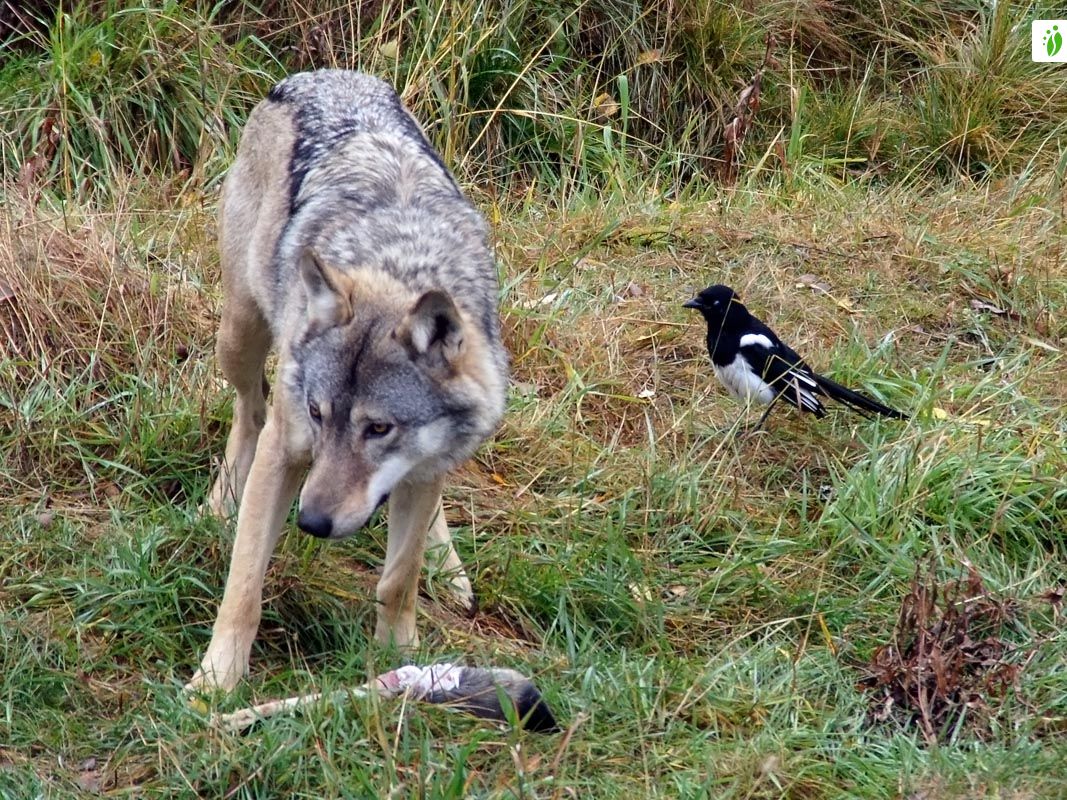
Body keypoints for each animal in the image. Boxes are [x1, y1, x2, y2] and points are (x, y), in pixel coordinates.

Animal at [187, 72, 507, 691]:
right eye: (318, 414)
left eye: (378, 428)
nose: (310, 522)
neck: (397, 260)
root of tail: (318, 76)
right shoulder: (286, 449)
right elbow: (244, 586)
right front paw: (214, 683)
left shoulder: (422, 464)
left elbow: (399, 578)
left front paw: (400, 658)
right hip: (239, 336)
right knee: (250, 410)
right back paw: (220, 504)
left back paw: (451, 572)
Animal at [687, 283, 904, 428]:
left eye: (714, 303)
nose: (690, 302)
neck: (731, 330)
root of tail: (810, 376)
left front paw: (754, 427)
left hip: (788, 383)